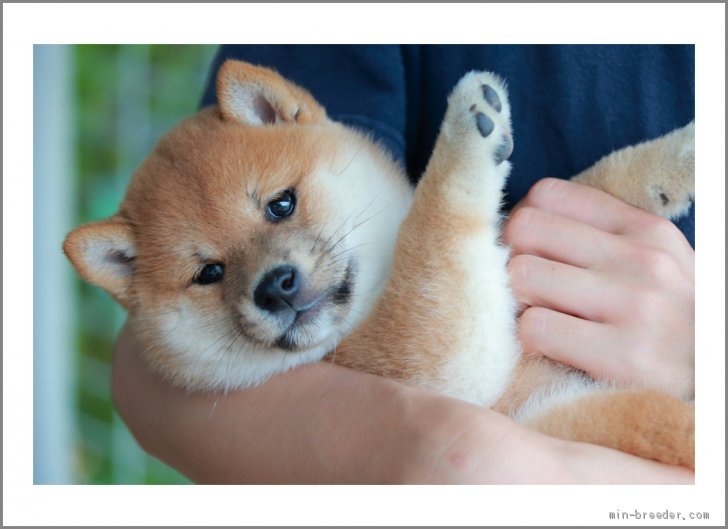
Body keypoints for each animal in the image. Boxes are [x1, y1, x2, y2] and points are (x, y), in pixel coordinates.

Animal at [65, 60, 696, 470]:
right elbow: (433, 225)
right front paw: (467, 126)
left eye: (280, 204)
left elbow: (585, 183)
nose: (275, 287)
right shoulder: (435, 359)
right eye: (209, 274)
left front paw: (680, 155)